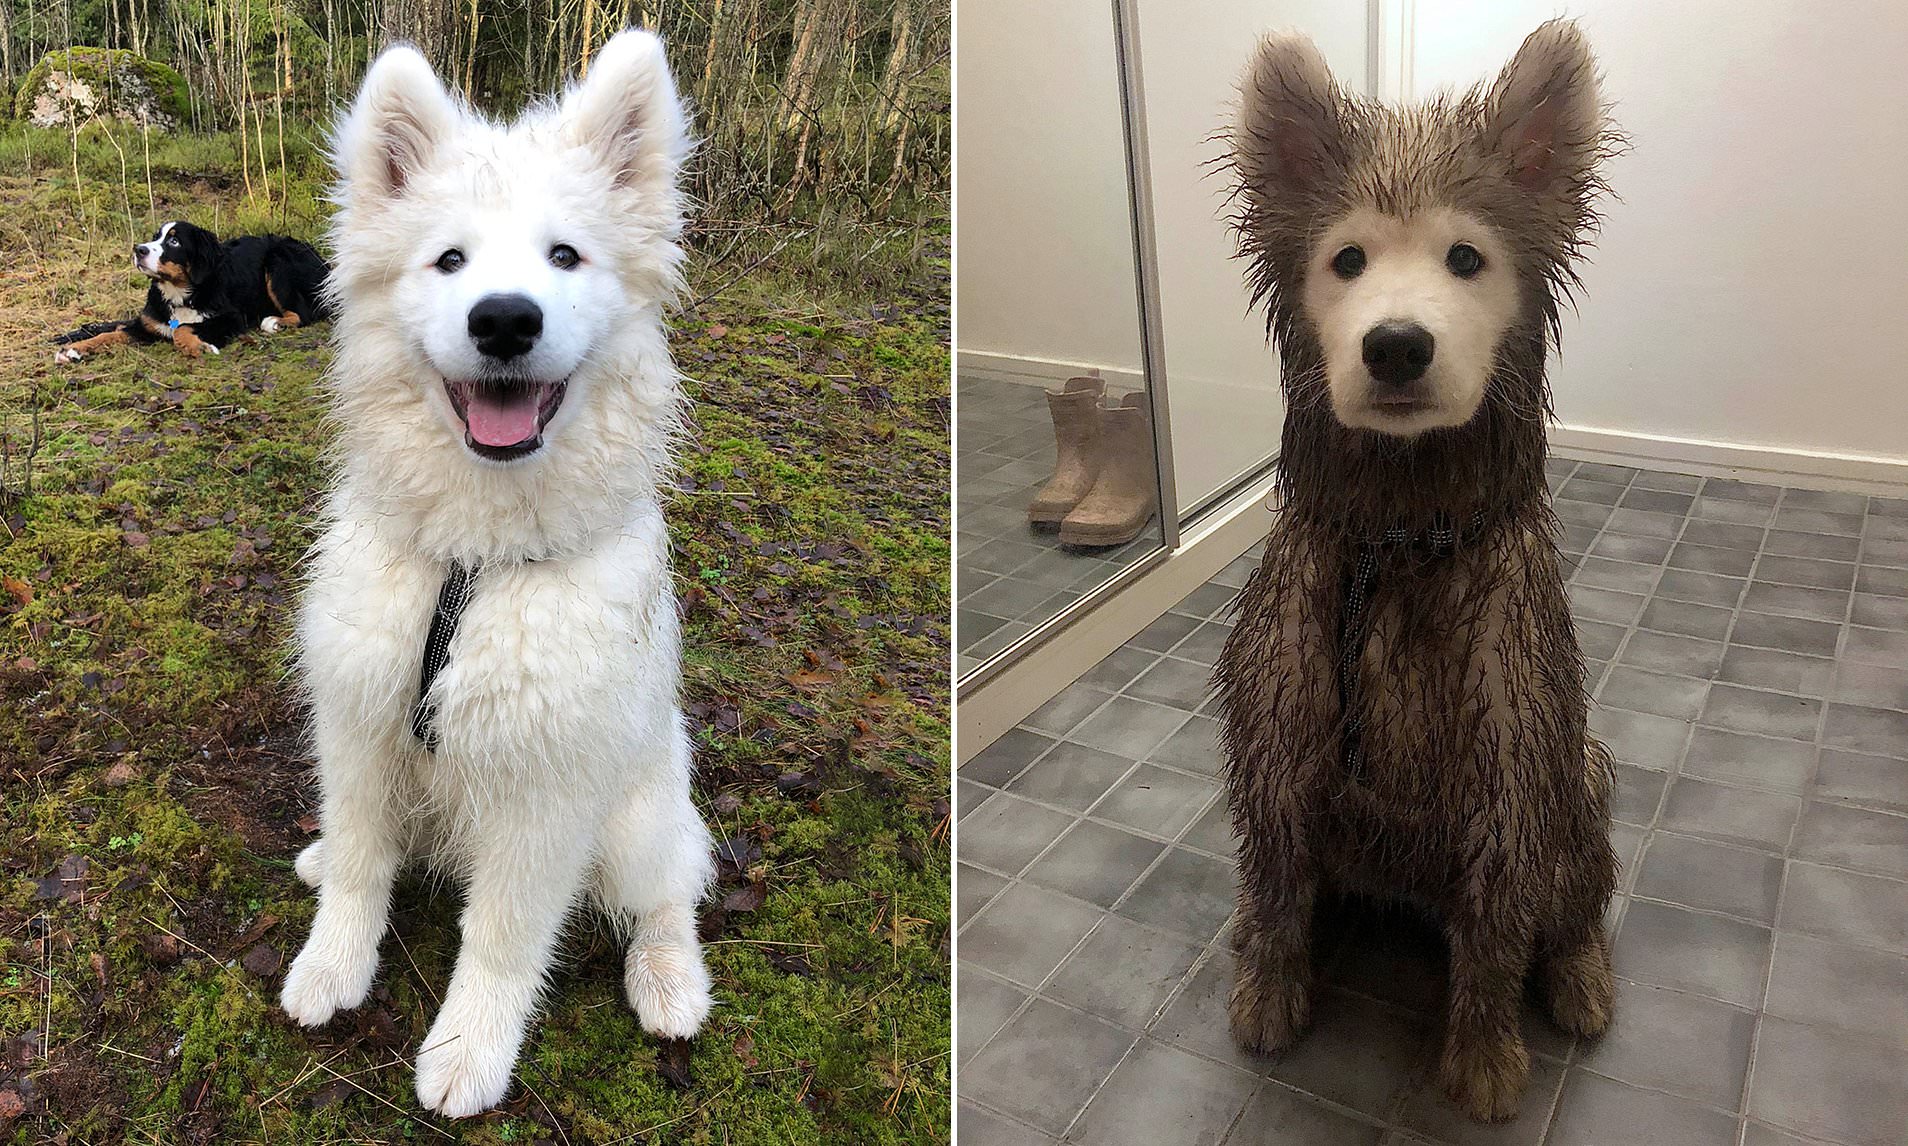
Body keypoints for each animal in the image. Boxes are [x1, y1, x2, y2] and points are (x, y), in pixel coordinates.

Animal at [54, 221, 331, 364]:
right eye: (156, 237)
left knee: (305, 312)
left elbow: (183, 329)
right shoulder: (147, 325)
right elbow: (111, 334)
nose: (138, 249)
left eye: (174, 241)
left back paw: (275, 322)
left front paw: (199, 347)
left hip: (277, 262)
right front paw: (74, 348)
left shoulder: (230, 318)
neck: (179, 293)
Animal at [272, 31, 713, 1121]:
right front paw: (329, 968)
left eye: (565, 256)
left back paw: (671, 983)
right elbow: (359, 867)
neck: (473, 564)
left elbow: (504, 938)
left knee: (672, 890)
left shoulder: (544, 792)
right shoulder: (357, 724)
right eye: (450, 259)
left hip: (640, 815)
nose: (504, 320)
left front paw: (469, 1051)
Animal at [1213, 22, 1617, 1121]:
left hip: (1583, 775)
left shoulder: (1514, 769)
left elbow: (1495, 935)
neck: (1398, 543)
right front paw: (1270, 987)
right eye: (1347, 259)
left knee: (1577, 903)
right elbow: (1278, 886)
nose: (1396, 345)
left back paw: (1580, 976)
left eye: (1466, 257)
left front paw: (1481, 1056)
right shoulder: (1277, 741)